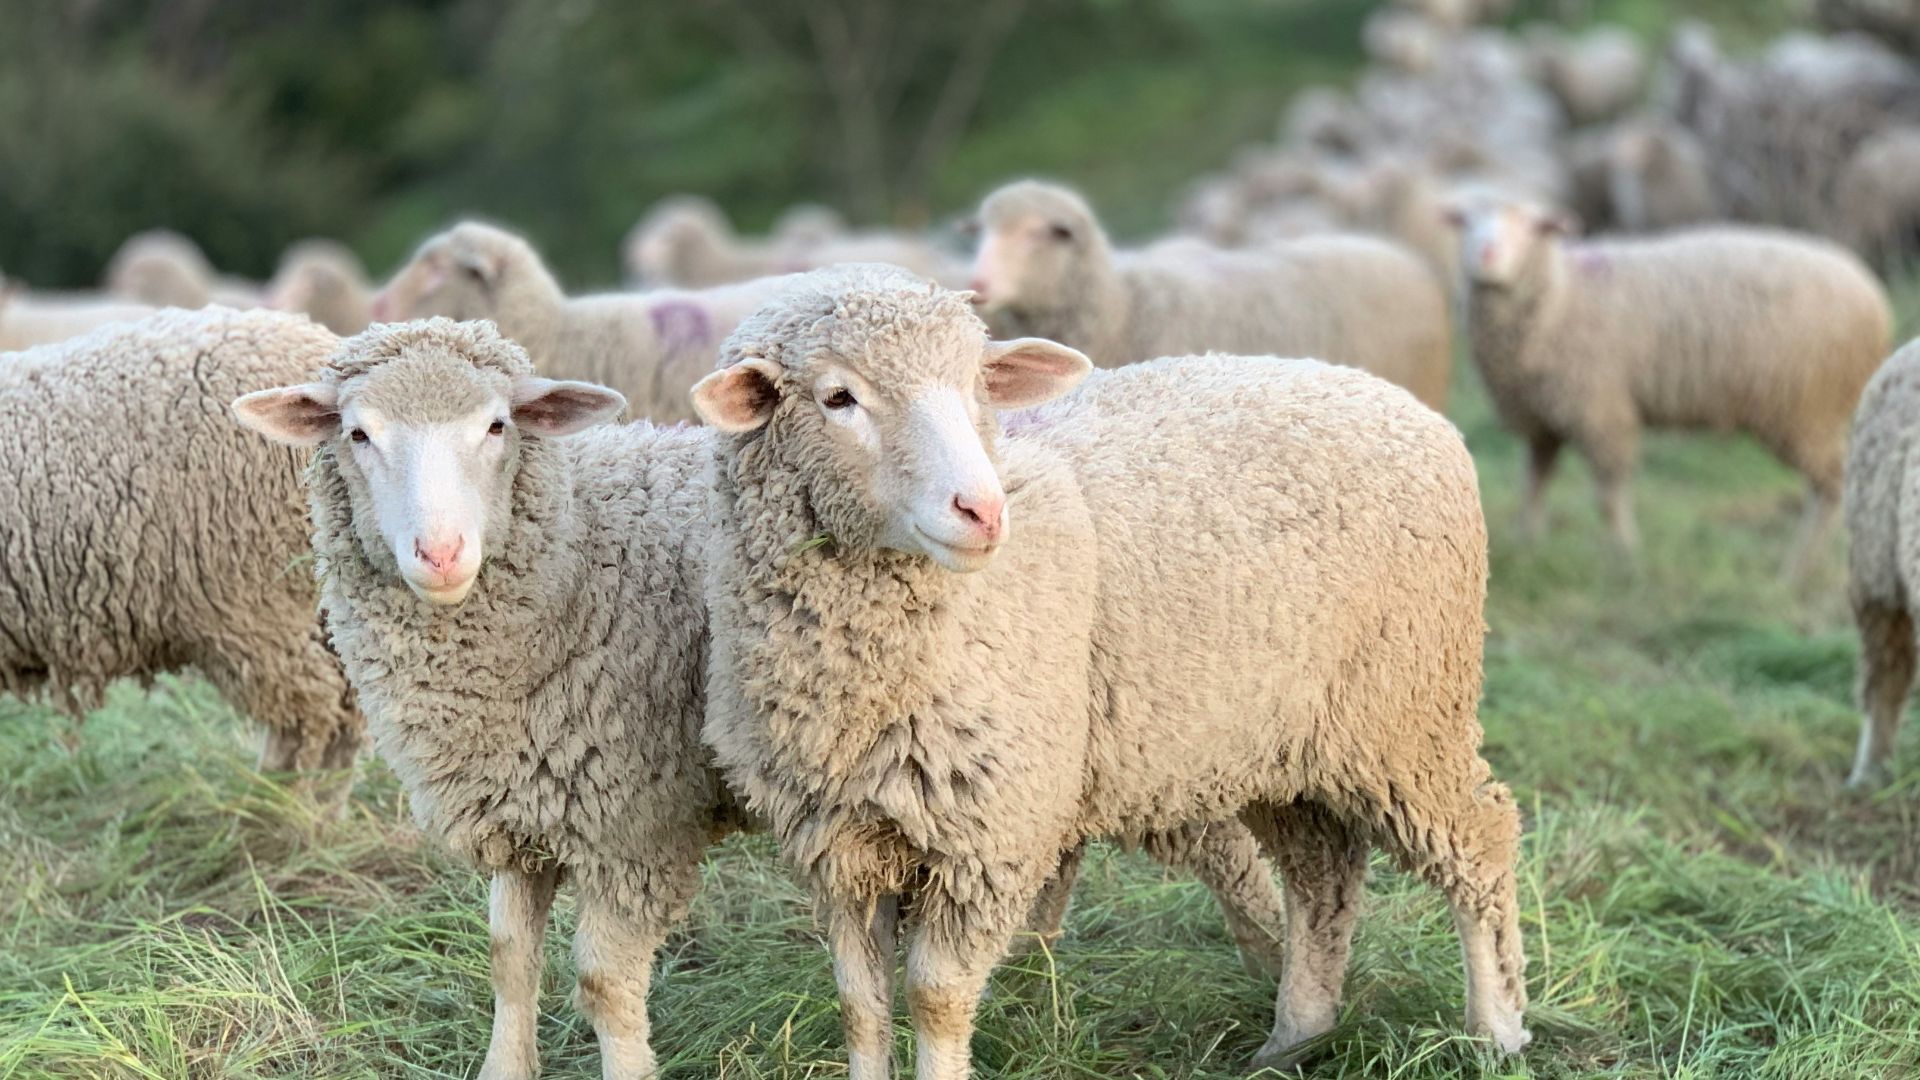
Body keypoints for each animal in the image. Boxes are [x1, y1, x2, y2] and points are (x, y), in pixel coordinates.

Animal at [231, 317, 1292, 1078]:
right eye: (358, 434)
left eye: (496, 428)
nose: (441, 553)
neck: (574, 560)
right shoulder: (521, 807)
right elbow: (507, 958)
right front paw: (505, 1069)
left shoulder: (634, 822)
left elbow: (603, 982)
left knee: (1238, 863)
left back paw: (1276, 993)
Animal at [693, 264, 1527, 1078]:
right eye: (839, 398)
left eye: (978, 388)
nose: (983, 511)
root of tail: (1402, 403)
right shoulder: (840, 846)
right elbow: (860, 1006)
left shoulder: (994, 835)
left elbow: (935, 998)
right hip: (1284, 741)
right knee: (1321, 872)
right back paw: (1296, 1036)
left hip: (1405, 714)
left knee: (1481, 838)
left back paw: (1497, 1031)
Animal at [1446, 193, 1891, 578]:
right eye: (1467, 222)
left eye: (1531, 226)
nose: (1486, 254)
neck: (1560, 295)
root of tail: (1873, 296)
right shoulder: (1541, 420)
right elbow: (1533, 485)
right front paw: (1528, 546)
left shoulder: (1600, 409)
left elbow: (1608, 497)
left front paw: (1625, 556)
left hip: (1804, 409)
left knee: (1831, 487)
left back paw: (1796, 569)